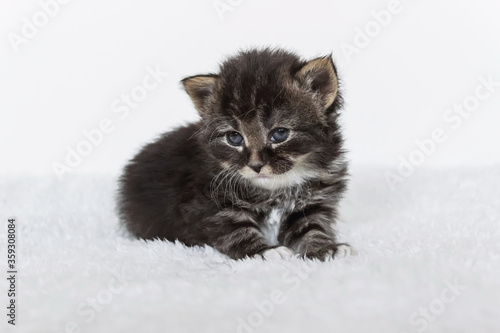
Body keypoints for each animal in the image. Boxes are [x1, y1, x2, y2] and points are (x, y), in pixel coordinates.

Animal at [117, 47, 352, 260]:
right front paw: (264, 251)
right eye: (234, 138)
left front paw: (325, 248)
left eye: (280, 134)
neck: (274, 190)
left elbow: (312, 228)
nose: (256, 165)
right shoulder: (209, 203)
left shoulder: (313, 203)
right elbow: (237, 232)